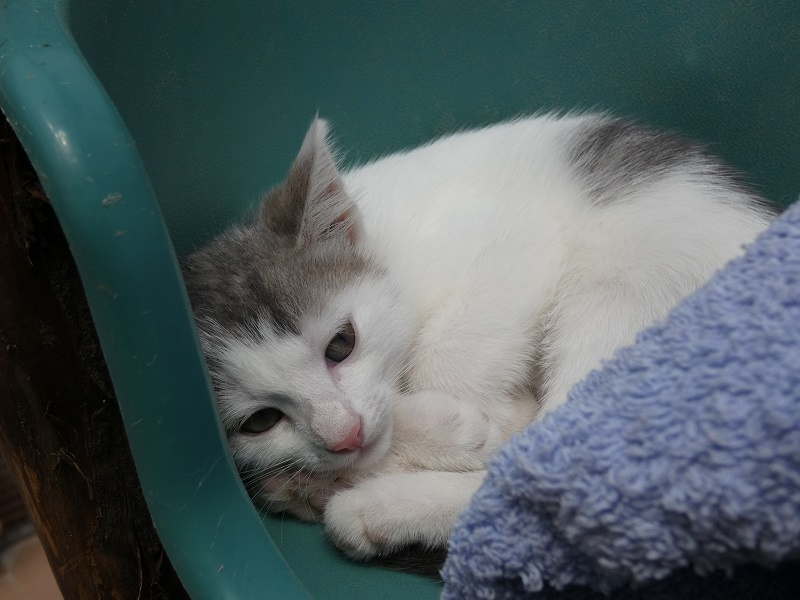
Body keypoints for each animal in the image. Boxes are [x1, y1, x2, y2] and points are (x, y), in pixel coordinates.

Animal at [182, 113, 775, 560]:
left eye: (341, 344)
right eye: (260, 422)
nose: (344, 435)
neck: (389, 253)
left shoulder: (519, 236)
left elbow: (452, 368)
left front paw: (466, 422)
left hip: (619, 289)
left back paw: (375, 505)